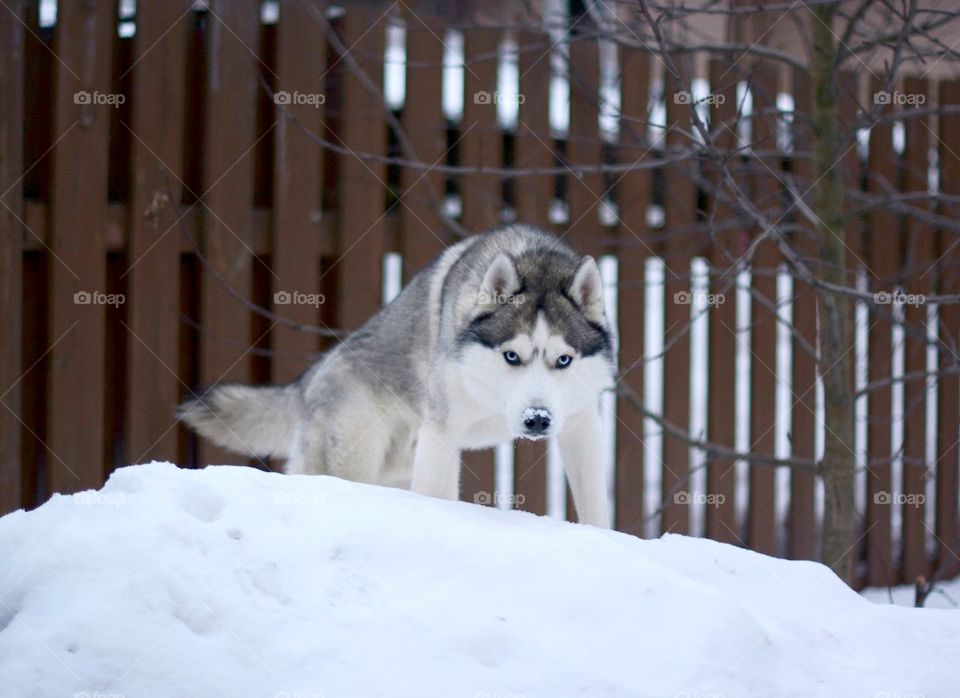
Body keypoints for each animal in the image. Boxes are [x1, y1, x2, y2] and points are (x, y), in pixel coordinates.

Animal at [180, 226, 616, 524]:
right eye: (512, 356)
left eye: (564, 360)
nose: (537, 419)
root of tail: (311, 378)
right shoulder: (442, 434)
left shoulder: (581, 424)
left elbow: (595, 504)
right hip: (356, 458)